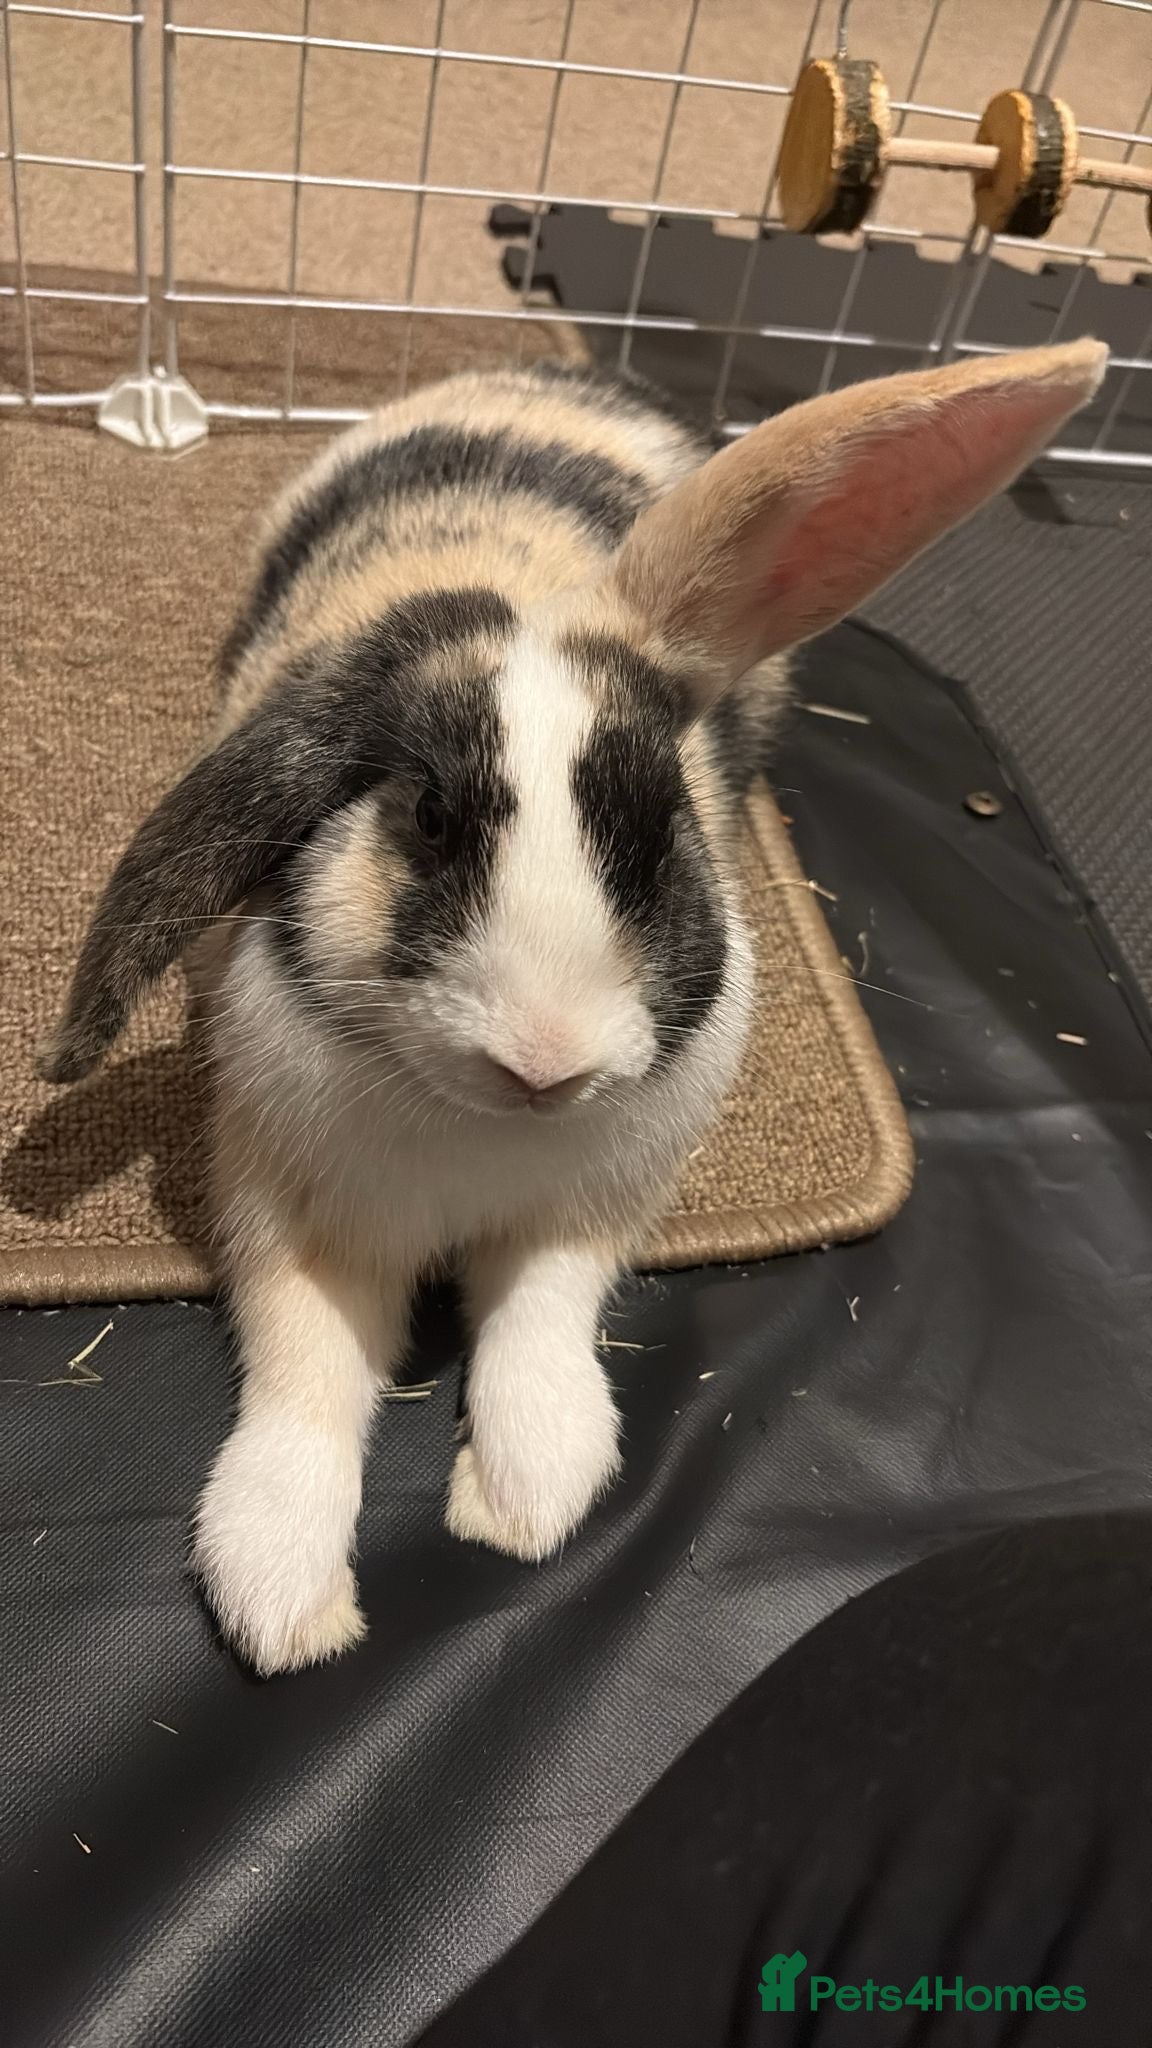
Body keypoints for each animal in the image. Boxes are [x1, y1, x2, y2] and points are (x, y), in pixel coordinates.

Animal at [39, 339, 1106, 1674]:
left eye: (663, 831)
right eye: (427, 813)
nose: (545, 1062)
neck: (487, 1132)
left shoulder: (593, 1209)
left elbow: (543, 1319)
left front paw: (528, 1494)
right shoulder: (292, 1211)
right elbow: (307, 1367)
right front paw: (277, 1596)